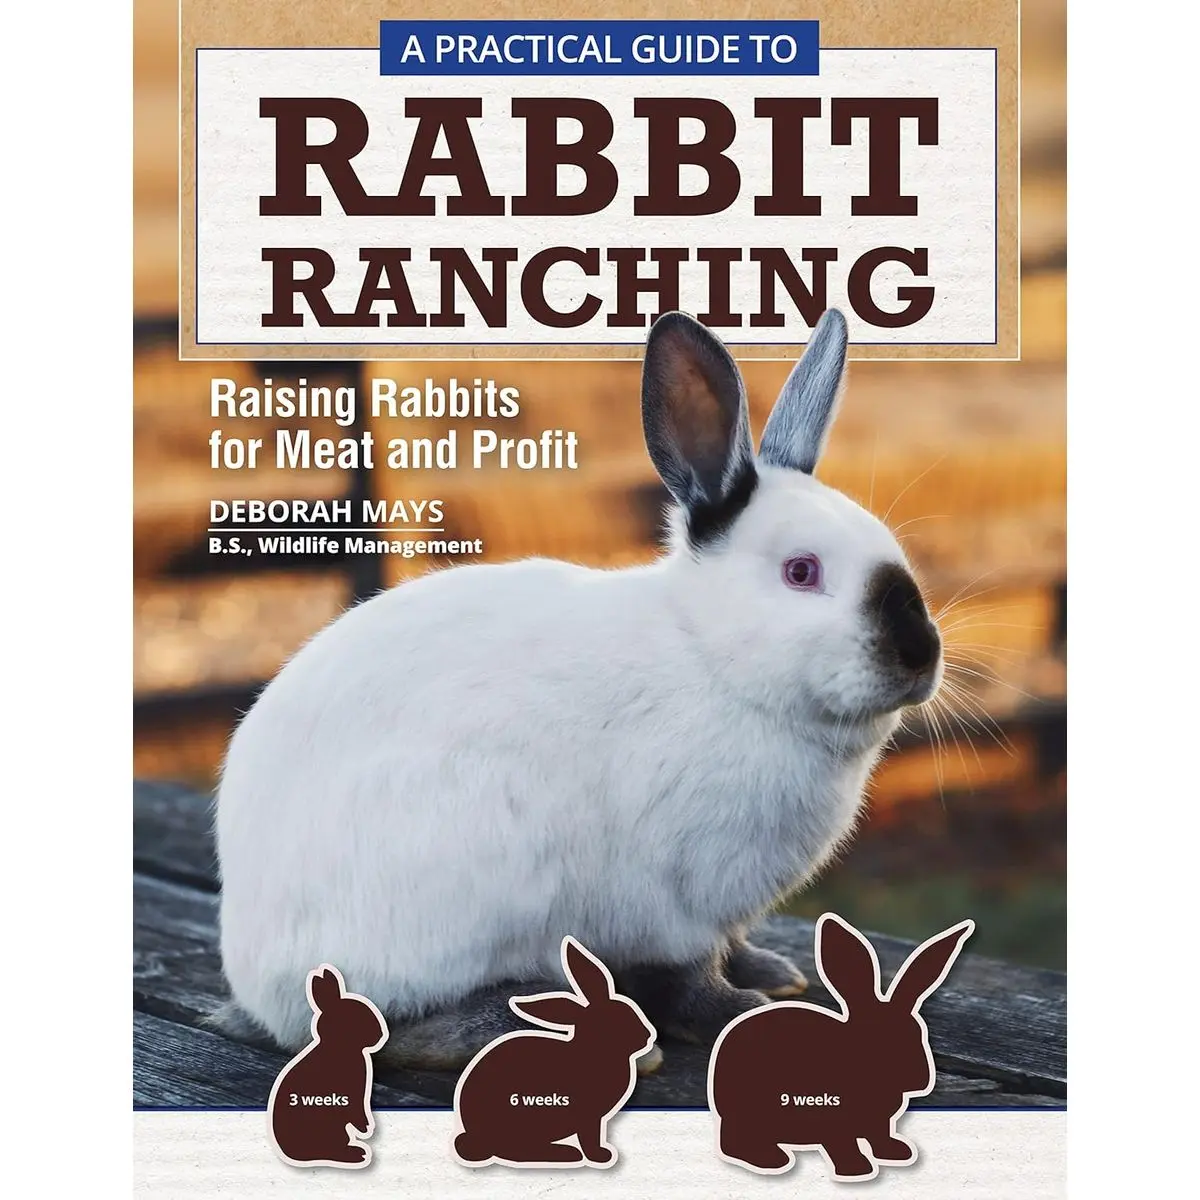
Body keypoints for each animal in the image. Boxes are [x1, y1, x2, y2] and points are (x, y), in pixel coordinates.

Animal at [214, 307, 945, 1074]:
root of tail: (258, 982)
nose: (920, 655)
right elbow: (693, 974)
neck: (712, 658)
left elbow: (733, 946)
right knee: (398, 1024)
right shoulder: (675, 902)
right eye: (801, 572)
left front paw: (773, 973)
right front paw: (735, 1008)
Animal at [708, 914, 974, 1179]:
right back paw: (772, 1160)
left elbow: (879, 1138)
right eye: (874, 1041)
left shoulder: (879, 1125)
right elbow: (841, 1145)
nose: (920, 1080)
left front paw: (898, 1152)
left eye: (919, 1034)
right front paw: (856, 1170)